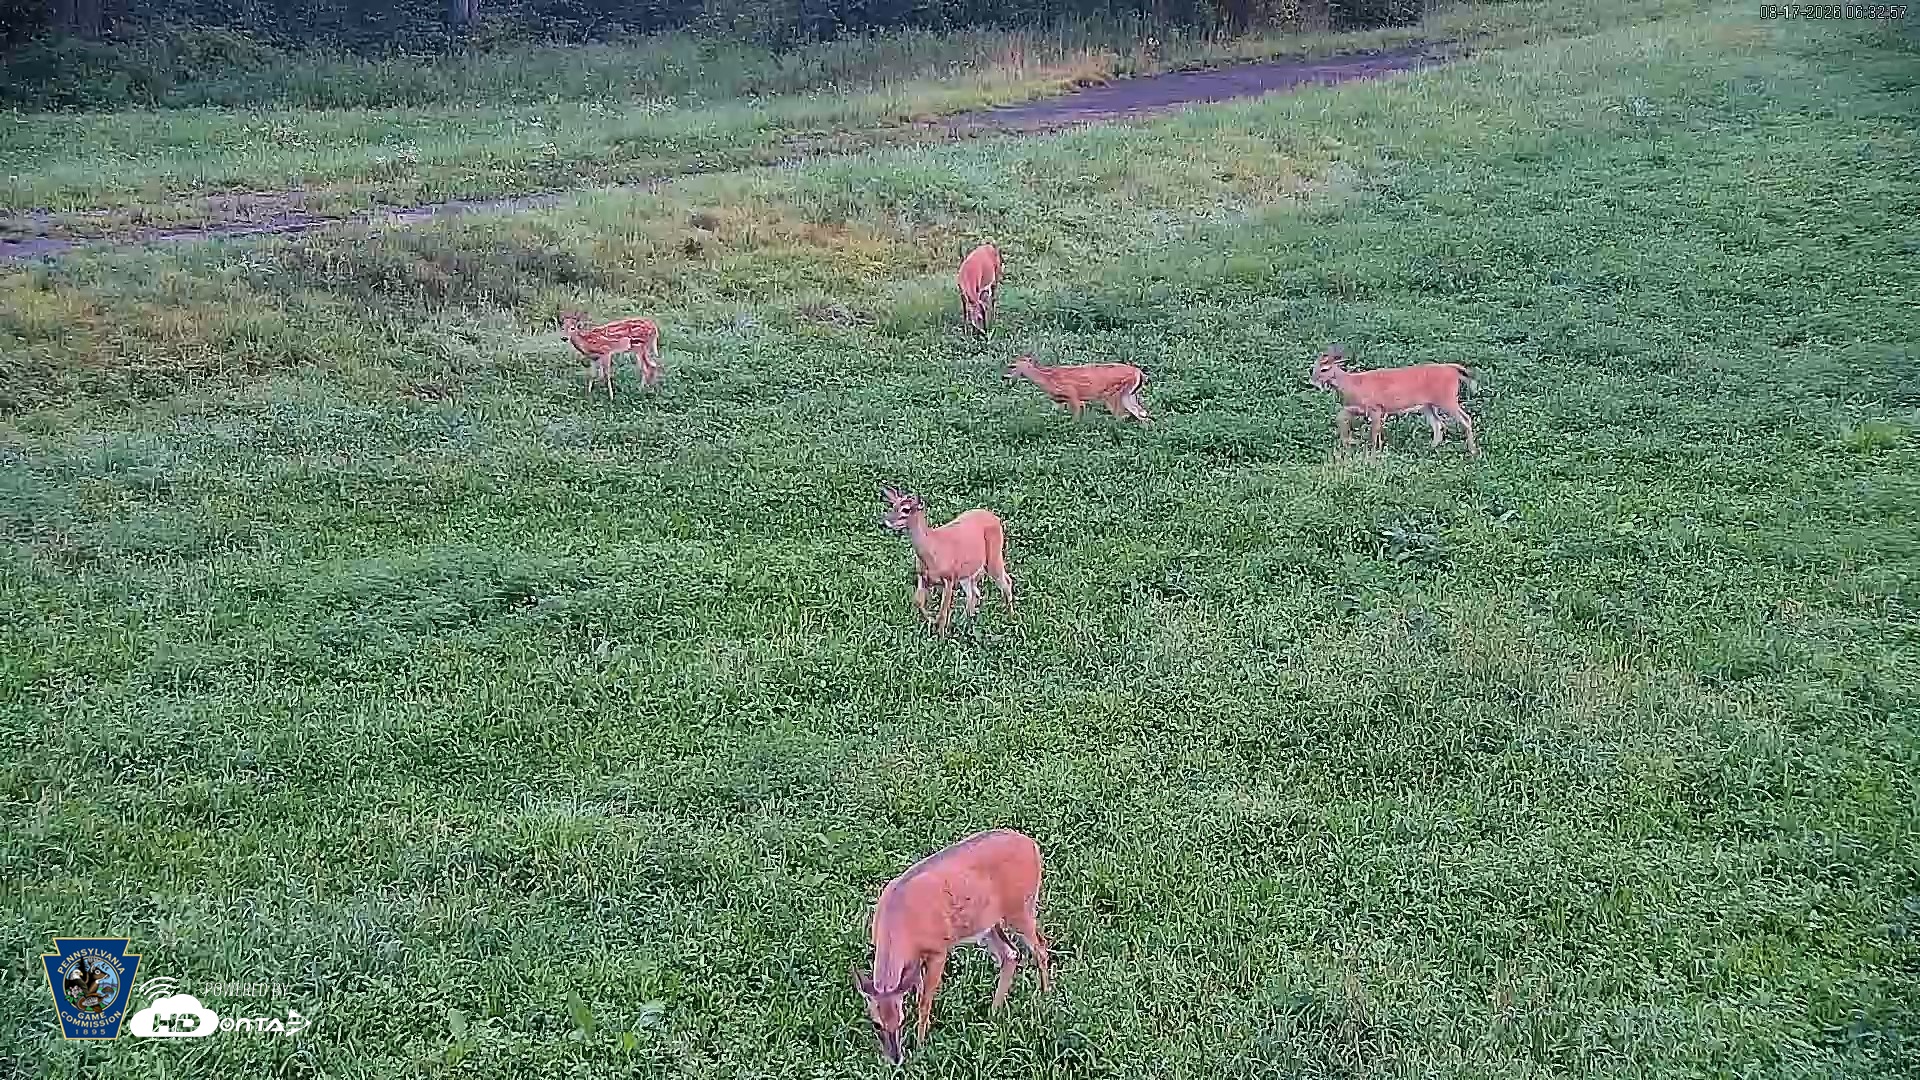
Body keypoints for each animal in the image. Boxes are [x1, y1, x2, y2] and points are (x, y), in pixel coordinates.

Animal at [852, 828, 1054, 1065]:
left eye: (901, 1020)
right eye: (876, 1024)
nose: (896, 1059)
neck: (898, 923)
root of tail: (1032, 845)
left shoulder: (938, 950)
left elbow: (924, 1001)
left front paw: (921, 1045)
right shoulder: (913, 959)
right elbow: (919, 991)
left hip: (1021, 908)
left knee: (1040, 947)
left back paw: (1045, 996)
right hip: (988, 924)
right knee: (1011, 954)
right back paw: (993, 1013)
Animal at [879, 487, 1013, 635]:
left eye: (906, 509)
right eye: (893, 505)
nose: (885, 521)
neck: (932, 551)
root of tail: (995, 517)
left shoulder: (949, 578)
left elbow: (943, 612)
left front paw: (941, 635)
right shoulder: (921, 576)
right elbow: (918, 602)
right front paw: (931, 620)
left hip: (994, 556)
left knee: (1006, 582)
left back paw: (1011, 618)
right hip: (967, 573)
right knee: (974, 593)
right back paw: (966, 623)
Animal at [1006, 354, 1151, 423]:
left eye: (1013, 366)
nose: (1005, 376)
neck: (1049, 379)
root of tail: (1139, 372)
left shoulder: (1073, 396)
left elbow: (1076, 418)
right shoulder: (1059, 401)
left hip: (1114, 395)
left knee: (1124, 415)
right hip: (1129, 395)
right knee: (1142, 414)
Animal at [1309, 344, 1478, 455]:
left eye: (1325, 369)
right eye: (1313, 368)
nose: (1313, 381)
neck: (1353, 384)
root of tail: (1453, 369)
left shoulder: (1376, 407)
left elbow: (1374, 432)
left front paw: (1373, 453)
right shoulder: (1355, 408)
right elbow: (1340, 417)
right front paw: (1348, 443)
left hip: (1447, 398)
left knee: (1465, 419)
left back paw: (1473, 451)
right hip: (1428, 404)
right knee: (1438, 424)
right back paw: (1430, 448)